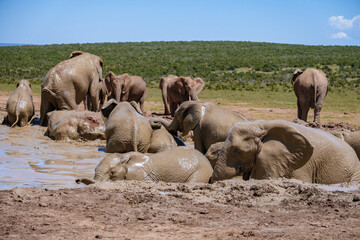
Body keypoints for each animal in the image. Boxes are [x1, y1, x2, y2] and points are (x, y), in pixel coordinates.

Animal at [75, 146, 211, 184]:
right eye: (94, 169)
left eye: (112, 172)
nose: (77, 180)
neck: (125, 156)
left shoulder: (144, 176)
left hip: (201, 171)